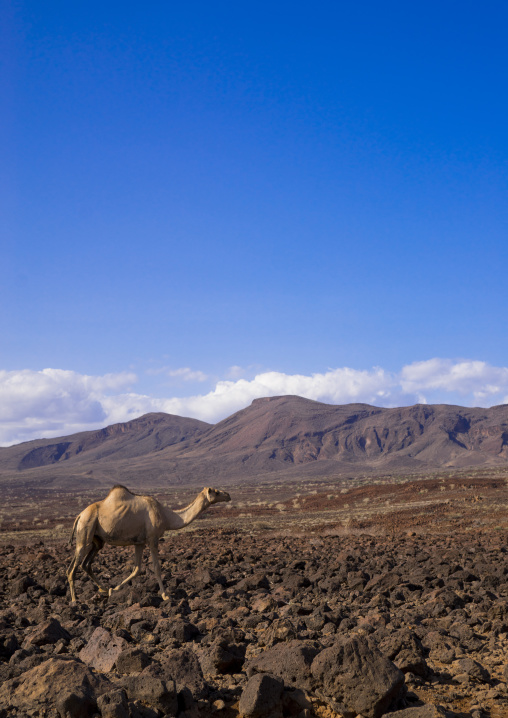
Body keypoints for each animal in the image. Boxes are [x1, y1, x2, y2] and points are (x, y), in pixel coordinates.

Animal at [67, 485, 231, 602]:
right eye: (216, 492)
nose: (228, 495)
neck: (166, 516)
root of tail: (79, 515)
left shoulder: (139, 542)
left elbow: (137, 569)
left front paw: (114, 589)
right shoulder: (153, 538)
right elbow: (156, 567)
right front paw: (165, 595)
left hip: (97, 540)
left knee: (86, 564)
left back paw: (104, 588)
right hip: (85, 531)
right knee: (72, 567)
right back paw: (75, 600)